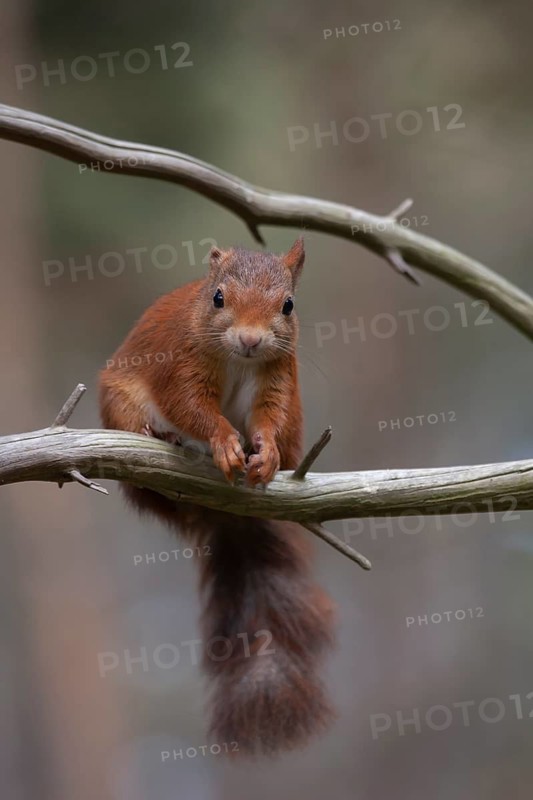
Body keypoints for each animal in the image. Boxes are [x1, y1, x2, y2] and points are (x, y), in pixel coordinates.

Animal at [98, 238, 335, 756]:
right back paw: (161, 435)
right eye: (218, 298)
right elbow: (191, 406)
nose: (250, 339)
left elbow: (268, 414)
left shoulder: (277, 375)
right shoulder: (179, 361)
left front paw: (262, 451)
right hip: (119, 400)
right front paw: (223, 440)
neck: (239, 361)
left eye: (288, 305)